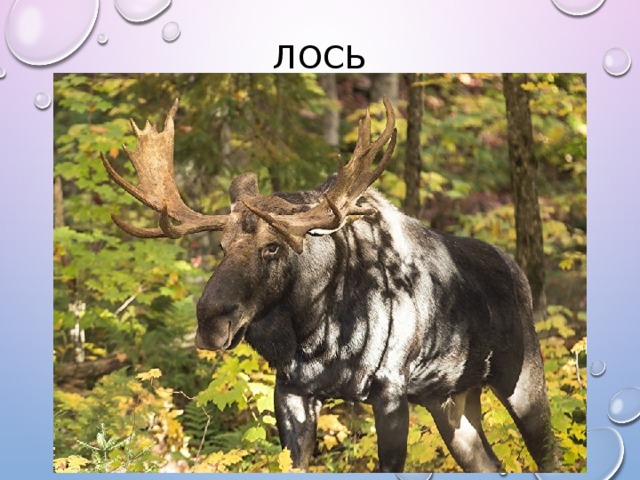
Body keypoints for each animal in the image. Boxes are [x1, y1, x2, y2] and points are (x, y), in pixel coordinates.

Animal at [101, 97, 558, 473]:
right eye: (222, 245)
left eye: (272, 247)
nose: (210, 320)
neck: (317, 331)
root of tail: (520, 275)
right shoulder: (292, 391)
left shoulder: (391, 390)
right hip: (450, 401)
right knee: (491, 463)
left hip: (523, 381)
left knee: (549, 457)